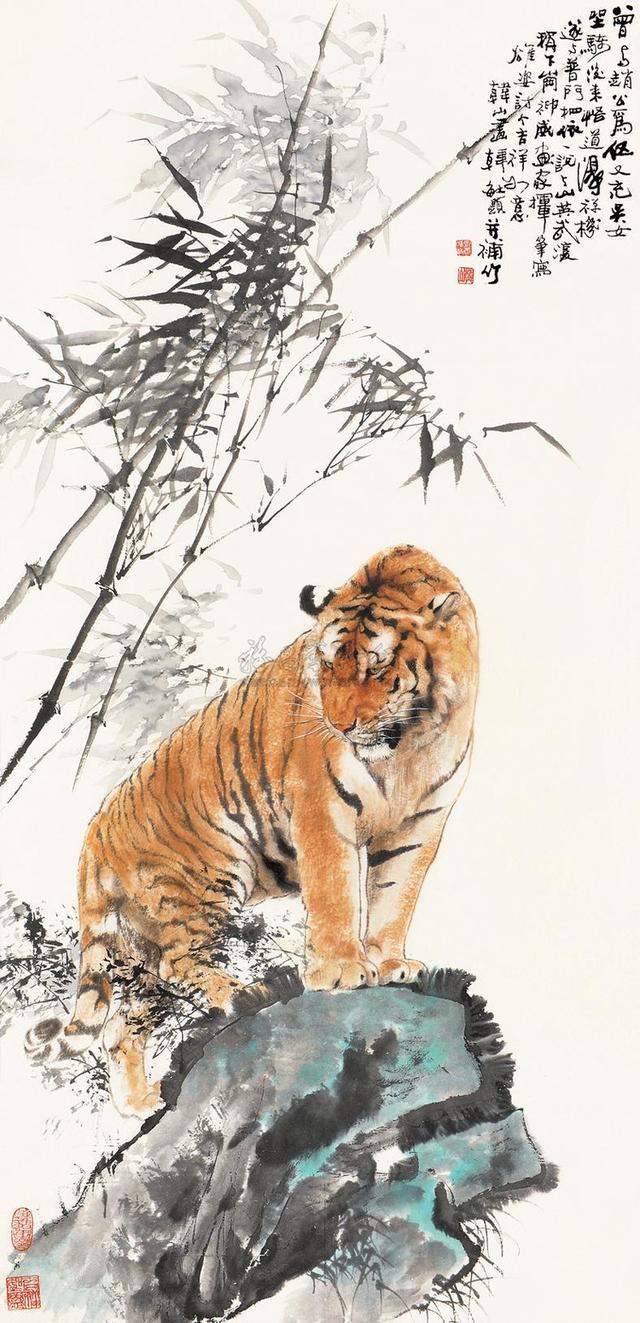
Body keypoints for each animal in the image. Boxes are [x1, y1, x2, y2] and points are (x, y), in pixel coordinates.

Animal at [25, 544, 479, 1117]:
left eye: (376, 664)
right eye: (327, 663)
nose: (339, 726)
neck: (413, 742)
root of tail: (92, 840)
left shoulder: (420, 824)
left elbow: (394, 898)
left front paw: (390, 962)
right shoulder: (322, 810)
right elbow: (336, 894)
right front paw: (341, 971)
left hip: (136, 947)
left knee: (121, 1025)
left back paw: (142, 1103)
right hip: (204, 880)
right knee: (179, 964)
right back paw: (245, 994)